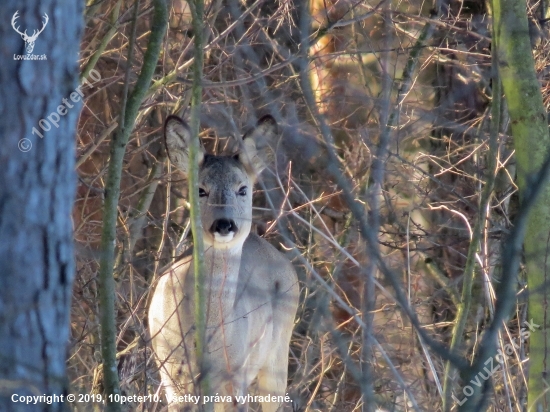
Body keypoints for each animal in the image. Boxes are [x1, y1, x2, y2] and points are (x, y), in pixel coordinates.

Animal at [149, 116, 300, 412]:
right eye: (200, 190)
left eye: (242, 189)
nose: (223, 224)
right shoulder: (170, 372)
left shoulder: (234, 376)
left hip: (277, 353)